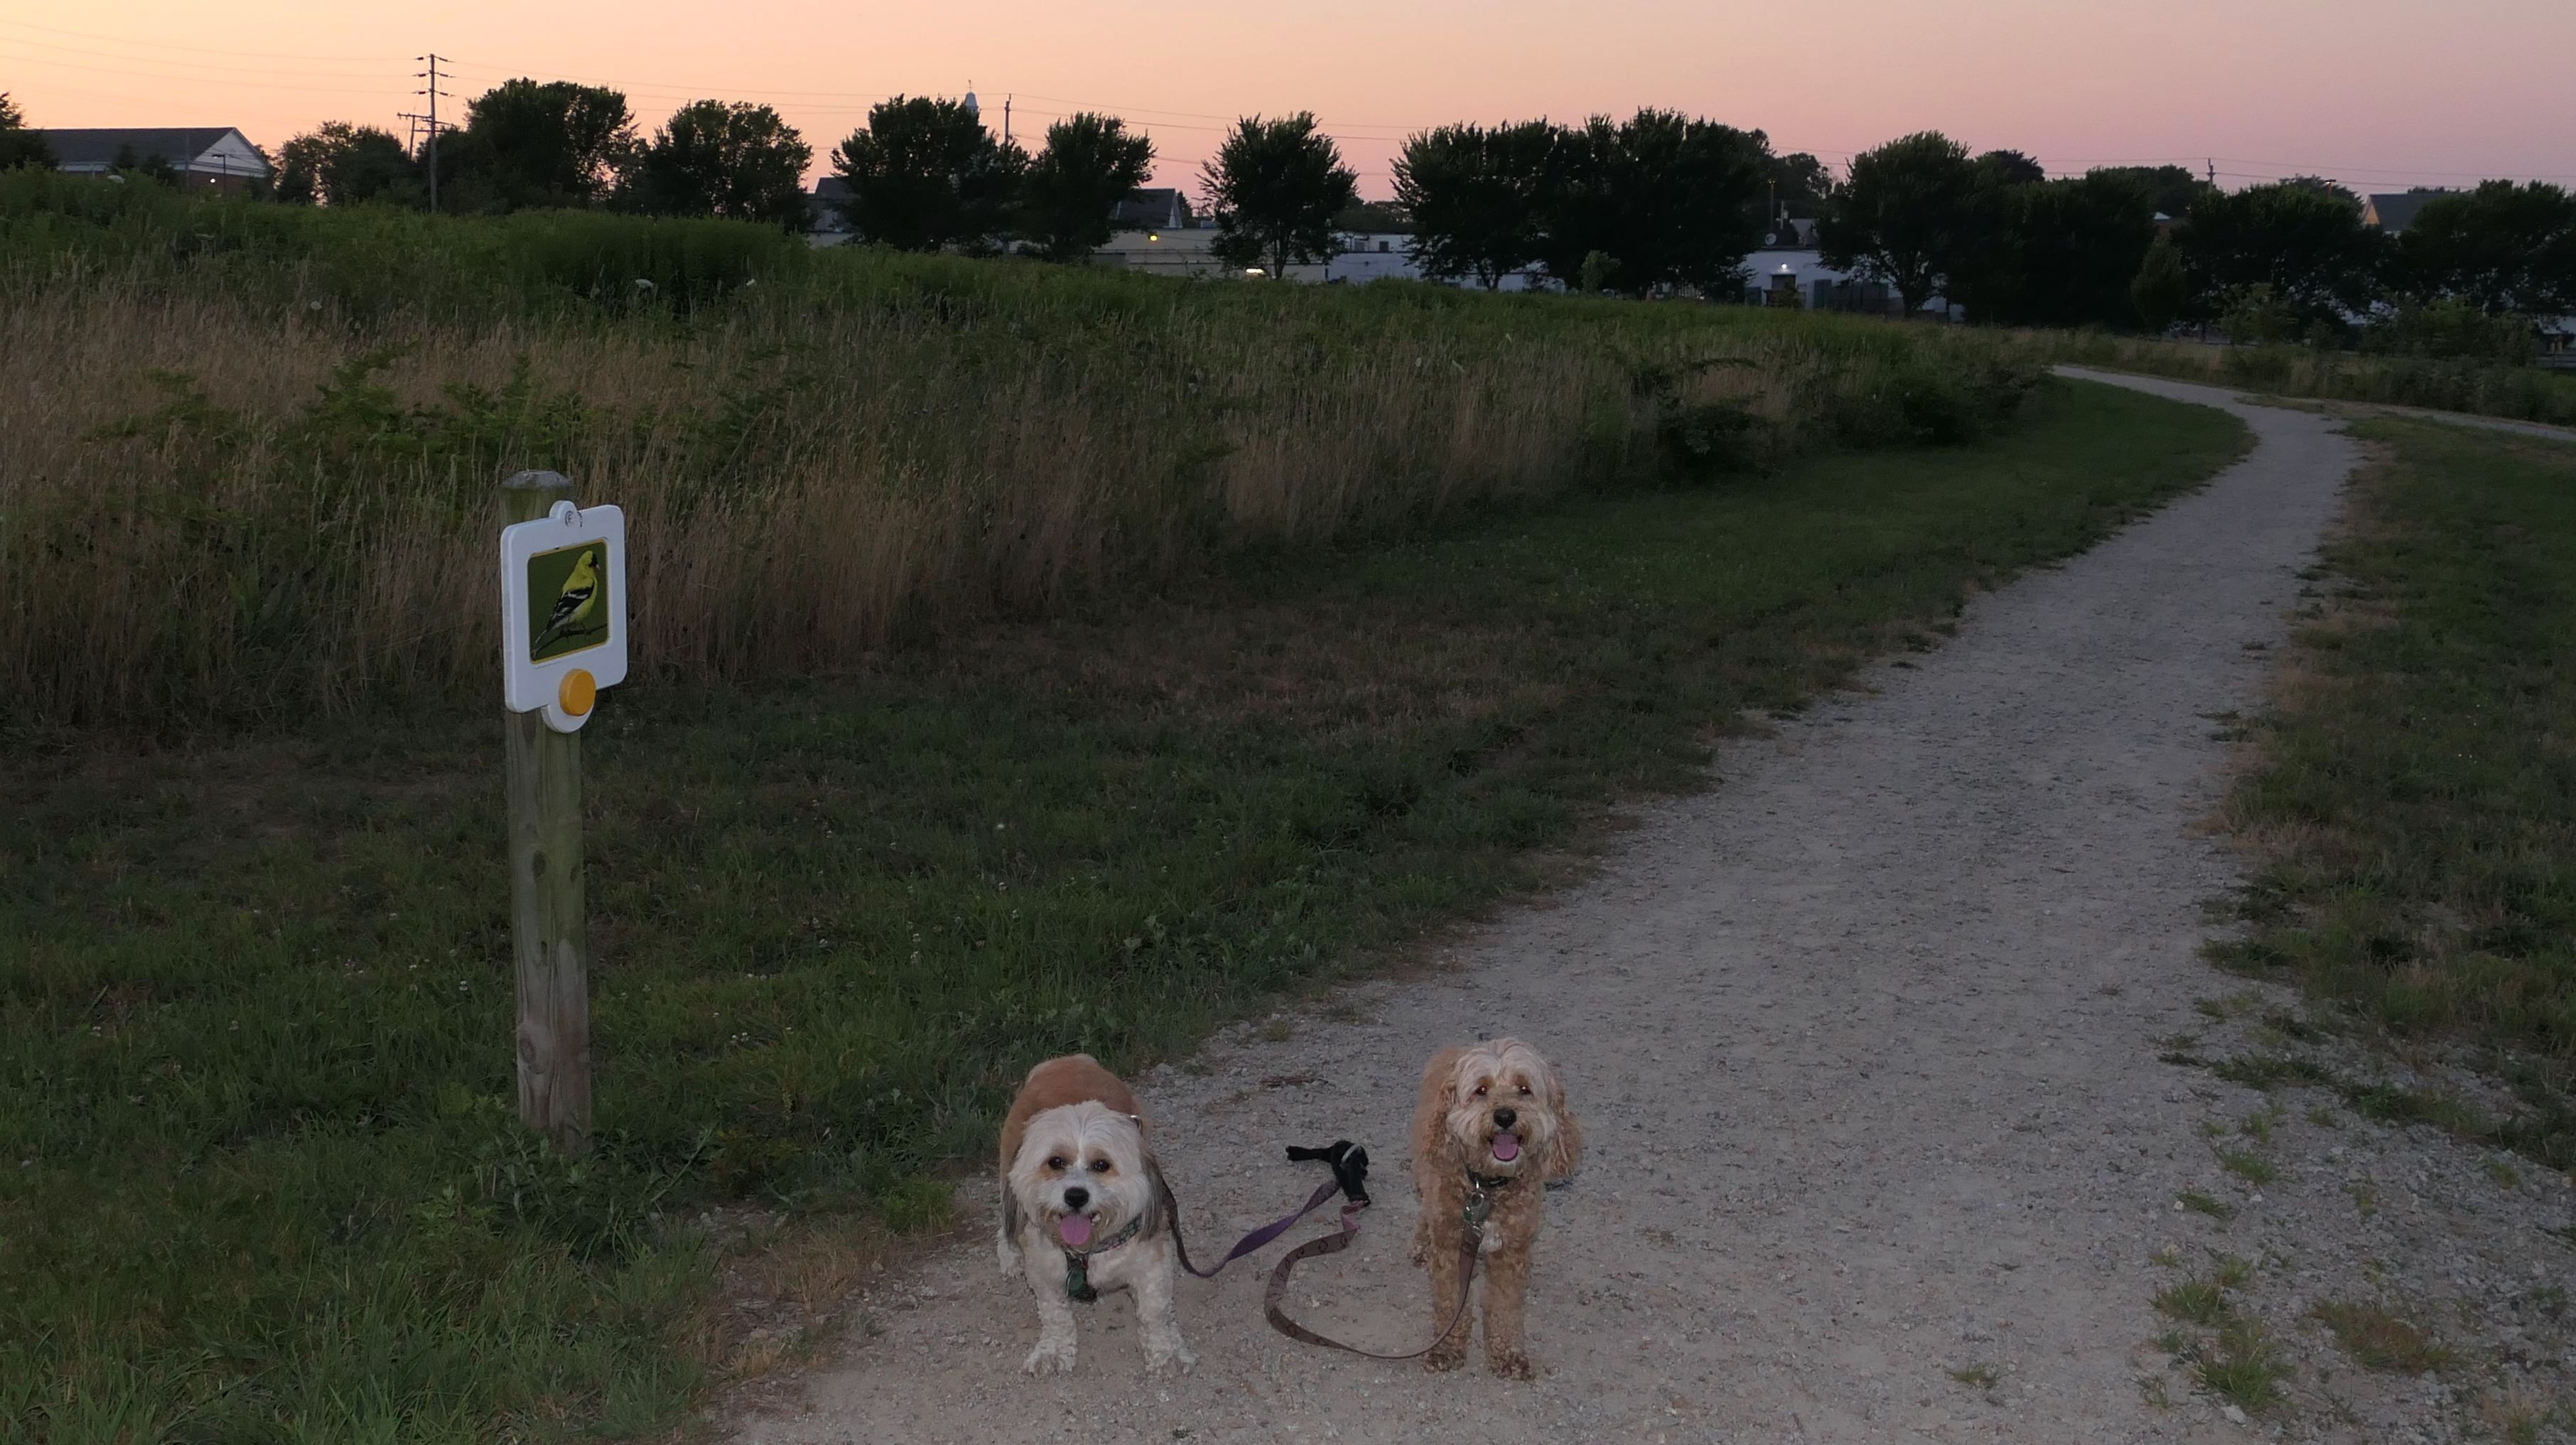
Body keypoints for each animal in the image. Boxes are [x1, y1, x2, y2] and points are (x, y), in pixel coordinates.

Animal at [995, 1054, 1194, 1375]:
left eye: (1102, 1165)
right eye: (1055, 1162)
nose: (1076, 1196)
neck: (1087, 1251)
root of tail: (1066, 1060)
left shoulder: (1153, 1266)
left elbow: (1155, 1313)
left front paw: (1167, 1352)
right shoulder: (1044, 1272)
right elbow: (1056, 1316)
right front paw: (1053, 1351)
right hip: (1005, 1169)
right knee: (1005, 1221)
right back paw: (1010, 1255)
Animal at [1407, 1037, 1582, 1377]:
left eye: (1524, 1089)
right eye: (1482, 1090)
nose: (1504, 1116)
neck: (1485, 1189)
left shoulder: (1510, 1253)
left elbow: (1504, 1307)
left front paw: (1507, 1354)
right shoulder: (1451, 1248)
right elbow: (1451, 1305)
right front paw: (1447, 1348)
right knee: (1425, 1212)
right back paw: (1421, 1244)